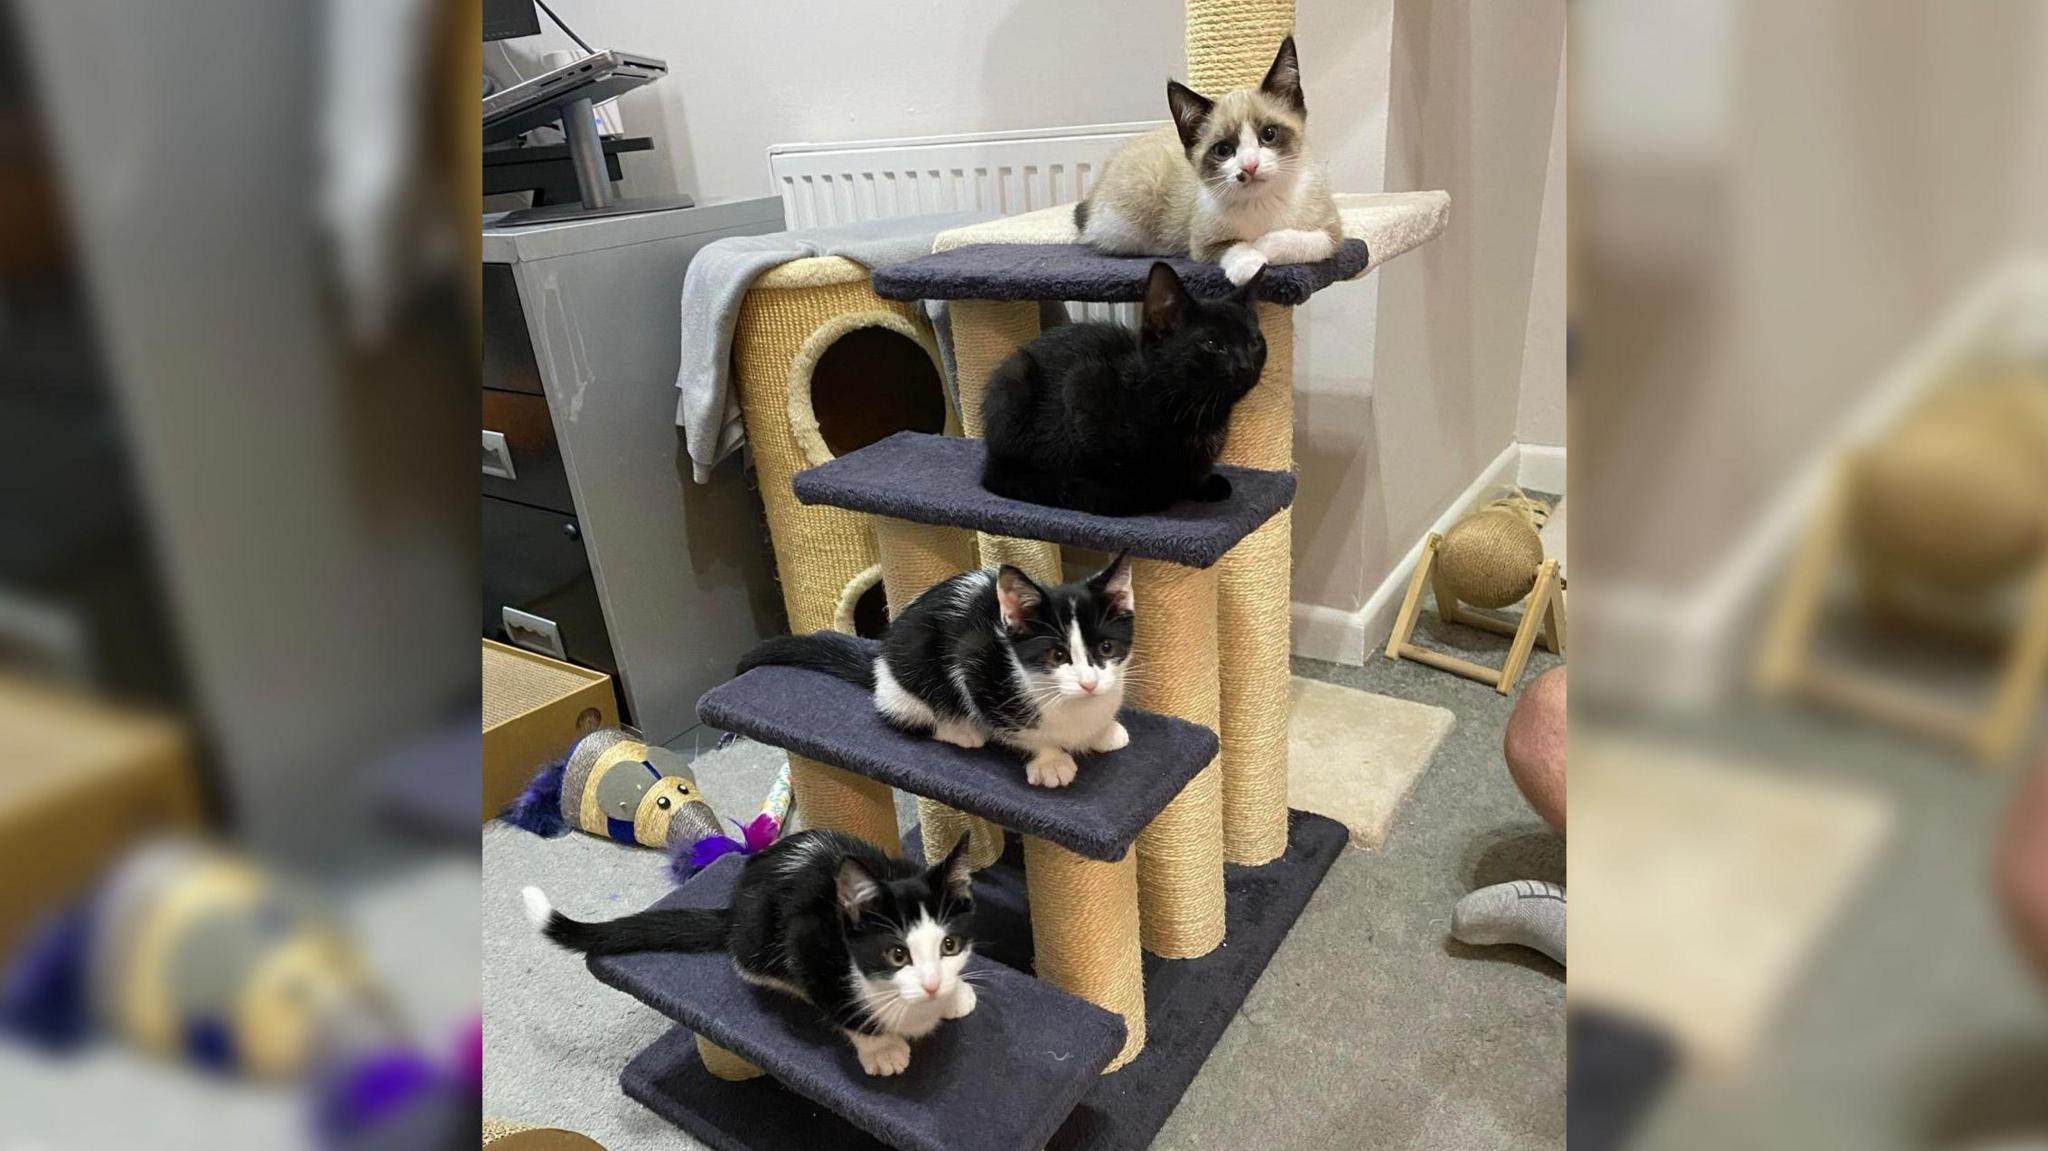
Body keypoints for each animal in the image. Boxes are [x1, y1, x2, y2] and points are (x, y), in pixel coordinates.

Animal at [524, 827, 978, 1073]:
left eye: (949, 945)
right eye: (897, 954)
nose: (933, 986)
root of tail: (736, 905)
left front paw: (956, 995)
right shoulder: (807, 942)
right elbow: (838, 1004)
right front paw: (881, 1048)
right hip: (760, 936)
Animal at [978, 260, 1261, 516]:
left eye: (1255, 342)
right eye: (1213, 344)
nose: (1246, 364)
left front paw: (1203, 484)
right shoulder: (1082, 383)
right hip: (1016, 375)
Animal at [1073, 36, 1343, 286]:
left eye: (1269, 134)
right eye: (1223, 150)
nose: (1250, 166)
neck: (1261, 202)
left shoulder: (1334, 232)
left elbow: (1307, 240)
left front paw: (1263, 244)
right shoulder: (1202, 242)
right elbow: (1232, 245)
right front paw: (1249, 263)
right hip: (1125, 223)